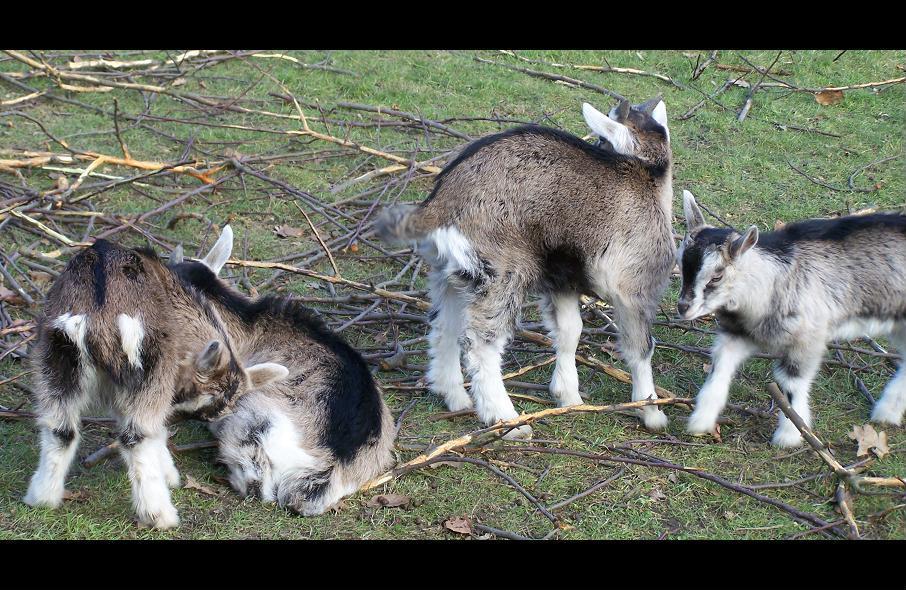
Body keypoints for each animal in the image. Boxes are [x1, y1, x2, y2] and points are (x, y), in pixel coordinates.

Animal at [22, 229, 286, 528]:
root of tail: (99, 311)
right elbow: (155, 429)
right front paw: (169, 475)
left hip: (56, 354)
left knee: (60, 429)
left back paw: (42, 498)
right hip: (147, 362)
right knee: (135, 437)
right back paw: (159, 514)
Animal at [372, 98, 672, 440]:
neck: (645, 173)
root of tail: (441, 204)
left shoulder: (562, 278)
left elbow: (569, 331)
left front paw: (568, 396)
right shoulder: (634, 285)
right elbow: (640, 348)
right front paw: (650, 411)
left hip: (452, 273)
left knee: (444, 325)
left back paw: (454, 395)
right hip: (503, 269)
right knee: (481, 343)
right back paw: (505, 419)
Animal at [680, 193, 904, 448]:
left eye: (716, 276)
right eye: (681, 263)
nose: (683, 308)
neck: (769, 285)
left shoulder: (808, 337)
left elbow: (791, 382)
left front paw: (789, 436)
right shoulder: (739, 332)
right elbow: (720, 364)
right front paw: (700, 420)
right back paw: (888, 411)